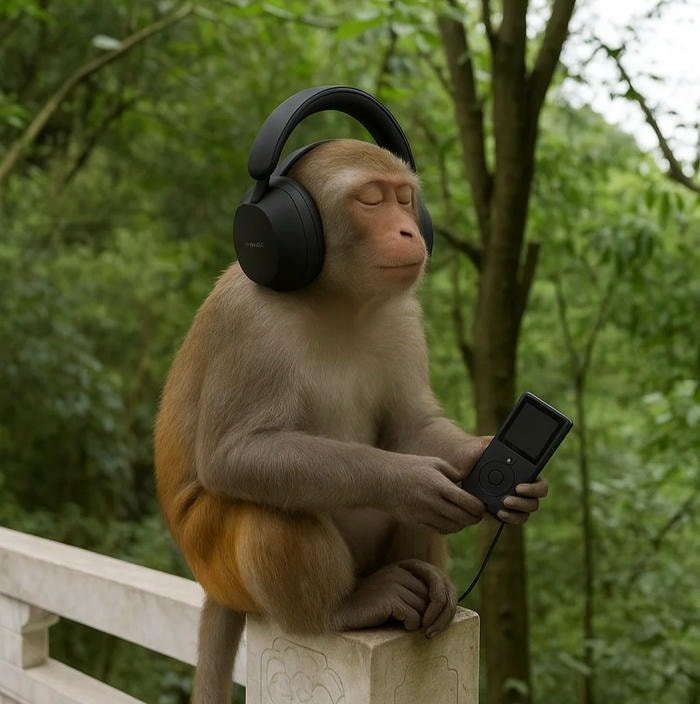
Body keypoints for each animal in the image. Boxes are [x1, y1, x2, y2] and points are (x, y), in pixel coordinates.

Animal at [154, 139, 548, 704]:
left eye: (405, 199)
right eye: (371, 200)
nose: (408, 231)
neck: (335, 299)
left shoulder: (404, 314)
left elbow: (412, 427)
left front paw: (496, 468)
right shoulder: (248, 318)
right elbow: (237, 454)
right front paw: (409, 482)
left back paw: (428, 587)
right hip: (218, 563)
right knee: (270, 508)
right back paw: (342, 608)